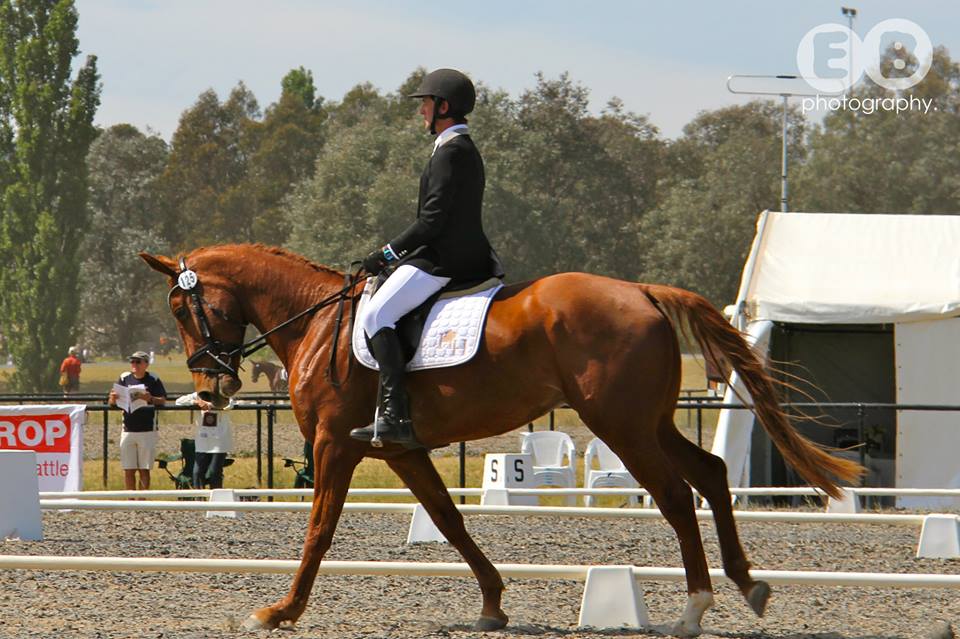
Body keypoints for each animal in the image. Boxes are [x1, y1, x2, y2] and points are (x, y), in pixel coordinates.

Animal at [141, 244, 862, 637]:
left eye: (180, 307)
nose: (209, 390)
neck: (316, 323)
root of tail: (642, 291)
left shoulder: (335, 446)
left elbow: (319, 530)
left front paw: (281, 611)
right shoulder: (400, 448)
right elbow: (449, 520)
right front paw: (491, 603)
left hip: (622, 426)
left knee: (676, 494)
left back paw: (694, 609)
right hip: (648, 421)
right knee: (710, 472)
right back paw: (747, 584)